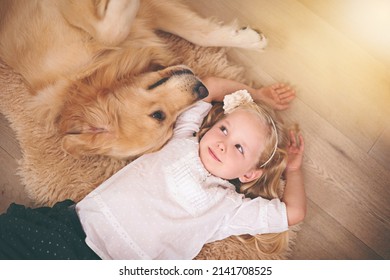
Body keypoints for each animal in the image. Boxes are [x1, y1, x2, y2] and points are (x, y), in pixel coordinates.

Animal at [0, 0, 266, 160]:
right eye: (159, 116)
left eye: (167, 119)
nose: (203, 89)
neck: (87, 72)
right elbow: (113, 31)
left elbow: (200, 34)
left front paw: (249, 39)